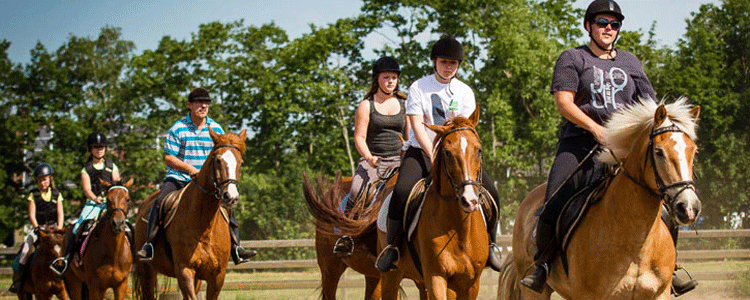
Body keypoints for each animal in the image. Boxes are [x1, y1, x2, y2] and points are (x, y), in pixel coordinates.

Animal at [134, 128, 248, 300]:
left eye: (240, 162)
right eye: (218, 160)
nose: (231, 197)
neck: (204, 224)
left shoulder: (217, 276)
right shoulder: (184, 271)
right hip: (147, 270)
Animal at [500, 97, 704, 298]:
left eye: (694, 151)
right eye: (659, 152)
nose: (688, 207)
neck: (637, 245)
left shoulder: (660, 293)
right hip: (534, 290)